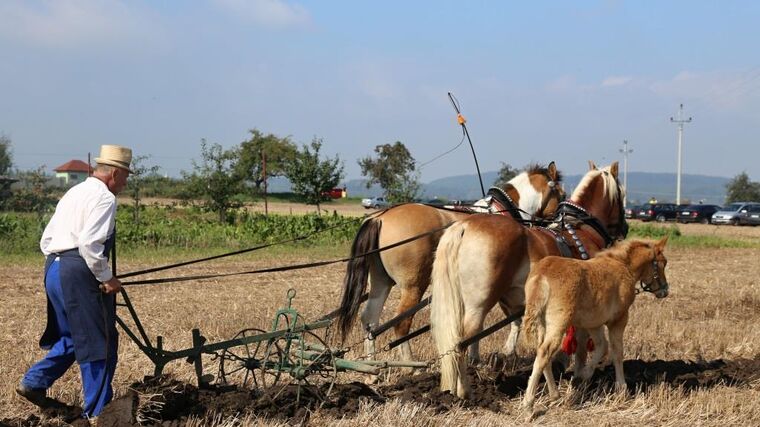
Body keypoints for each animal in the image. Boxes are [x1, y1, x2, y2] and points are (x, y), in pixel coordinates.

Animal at [336, 162, 564, 362]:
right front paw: (500, 352)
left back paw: (371, 362)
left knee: (370, 320)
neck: (502, 209)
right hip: (413, 285)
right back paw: (410, 365)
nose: (558, 224)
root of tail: (380, 218)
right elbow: (507, 317)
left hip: (381, 281)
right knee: (401, 323)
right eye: (561, 194)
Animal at [430, 162, 628, 400]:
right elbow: (581, 345)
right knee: (462, 341)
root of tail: (464, 226)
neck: (583, 233)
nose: (625, 228)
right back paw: (465, 391)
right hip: (479, 304)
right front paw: (580, 377)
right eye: (622, 195)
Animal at [520, 237, 668, 412]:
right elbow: (617, 352)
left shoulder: (593, 323)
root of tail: (542, 274)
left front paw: (581, 377)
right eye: (663, 263)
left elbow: (602, 346)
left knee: (542, 353)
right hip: (558, 323)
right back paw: (528, 402)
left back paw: (555, 395)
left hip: (542, 324)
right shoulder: (618, 320)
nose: (665, 291)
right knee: (545, 352)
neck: (623, 266)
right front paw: (621, 389)